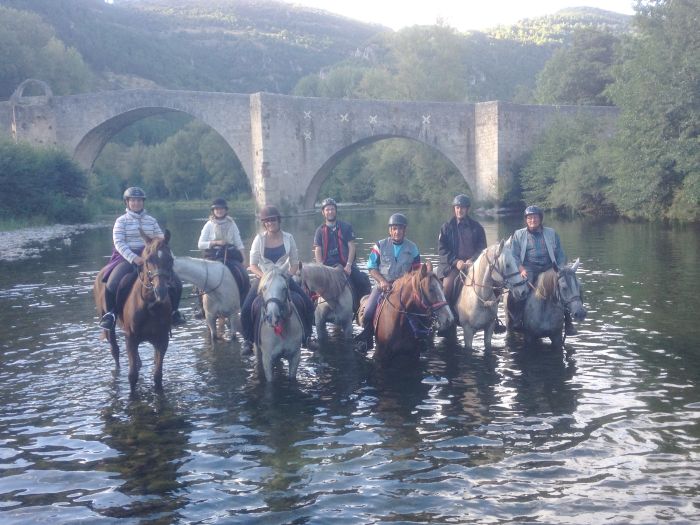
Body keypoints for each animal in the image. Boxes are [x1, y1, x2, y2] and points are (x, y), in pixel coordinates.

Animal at [93, 230, 174, 388]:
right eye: (148, 259)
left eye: (170, 259)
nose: (161, 291)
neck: (149, 305)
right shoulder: (130, 338)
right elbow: (132, 376)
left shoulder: (162, 339)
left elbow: (157, 376)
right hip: (110, 327)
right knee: (115, 351)